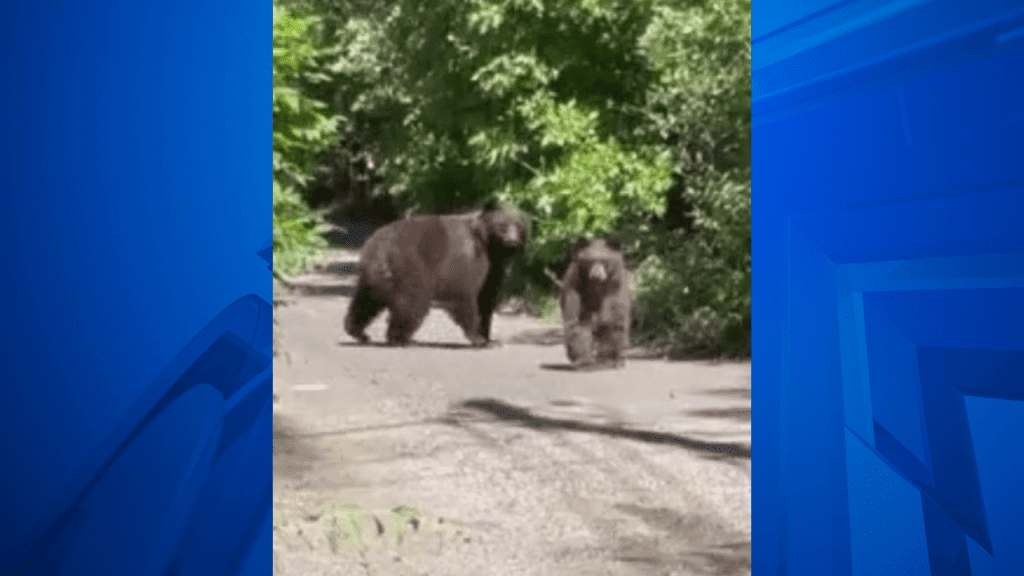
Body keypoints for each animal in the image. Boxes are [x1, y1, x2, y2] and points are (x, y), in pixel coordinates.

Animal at [348, 202, 532, 344]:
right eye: (502, 226)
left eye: (519, 226)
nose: (512, 241)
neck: (487, 245)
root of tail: (377, 249)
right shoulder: (467, 260)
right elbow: (465, 295)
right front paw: (477, 337)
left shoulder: (493, 267)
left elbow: (486, 297)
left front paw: (487, 337)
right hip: (411, 268)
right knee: (412, 302)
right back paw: (398, 337)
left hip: (372, 279)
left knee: (365, 303)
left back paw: (358, 333)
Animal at [557, 236, 626, 366]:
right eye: (590, 260)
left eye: (604, 260)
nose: (596, 274)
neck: (596, 285)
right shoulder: (575, 285)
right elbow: (577, 321)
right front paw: (583, 359)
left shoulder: (614, 286)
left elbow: (612, 318)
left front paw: (608, 358)